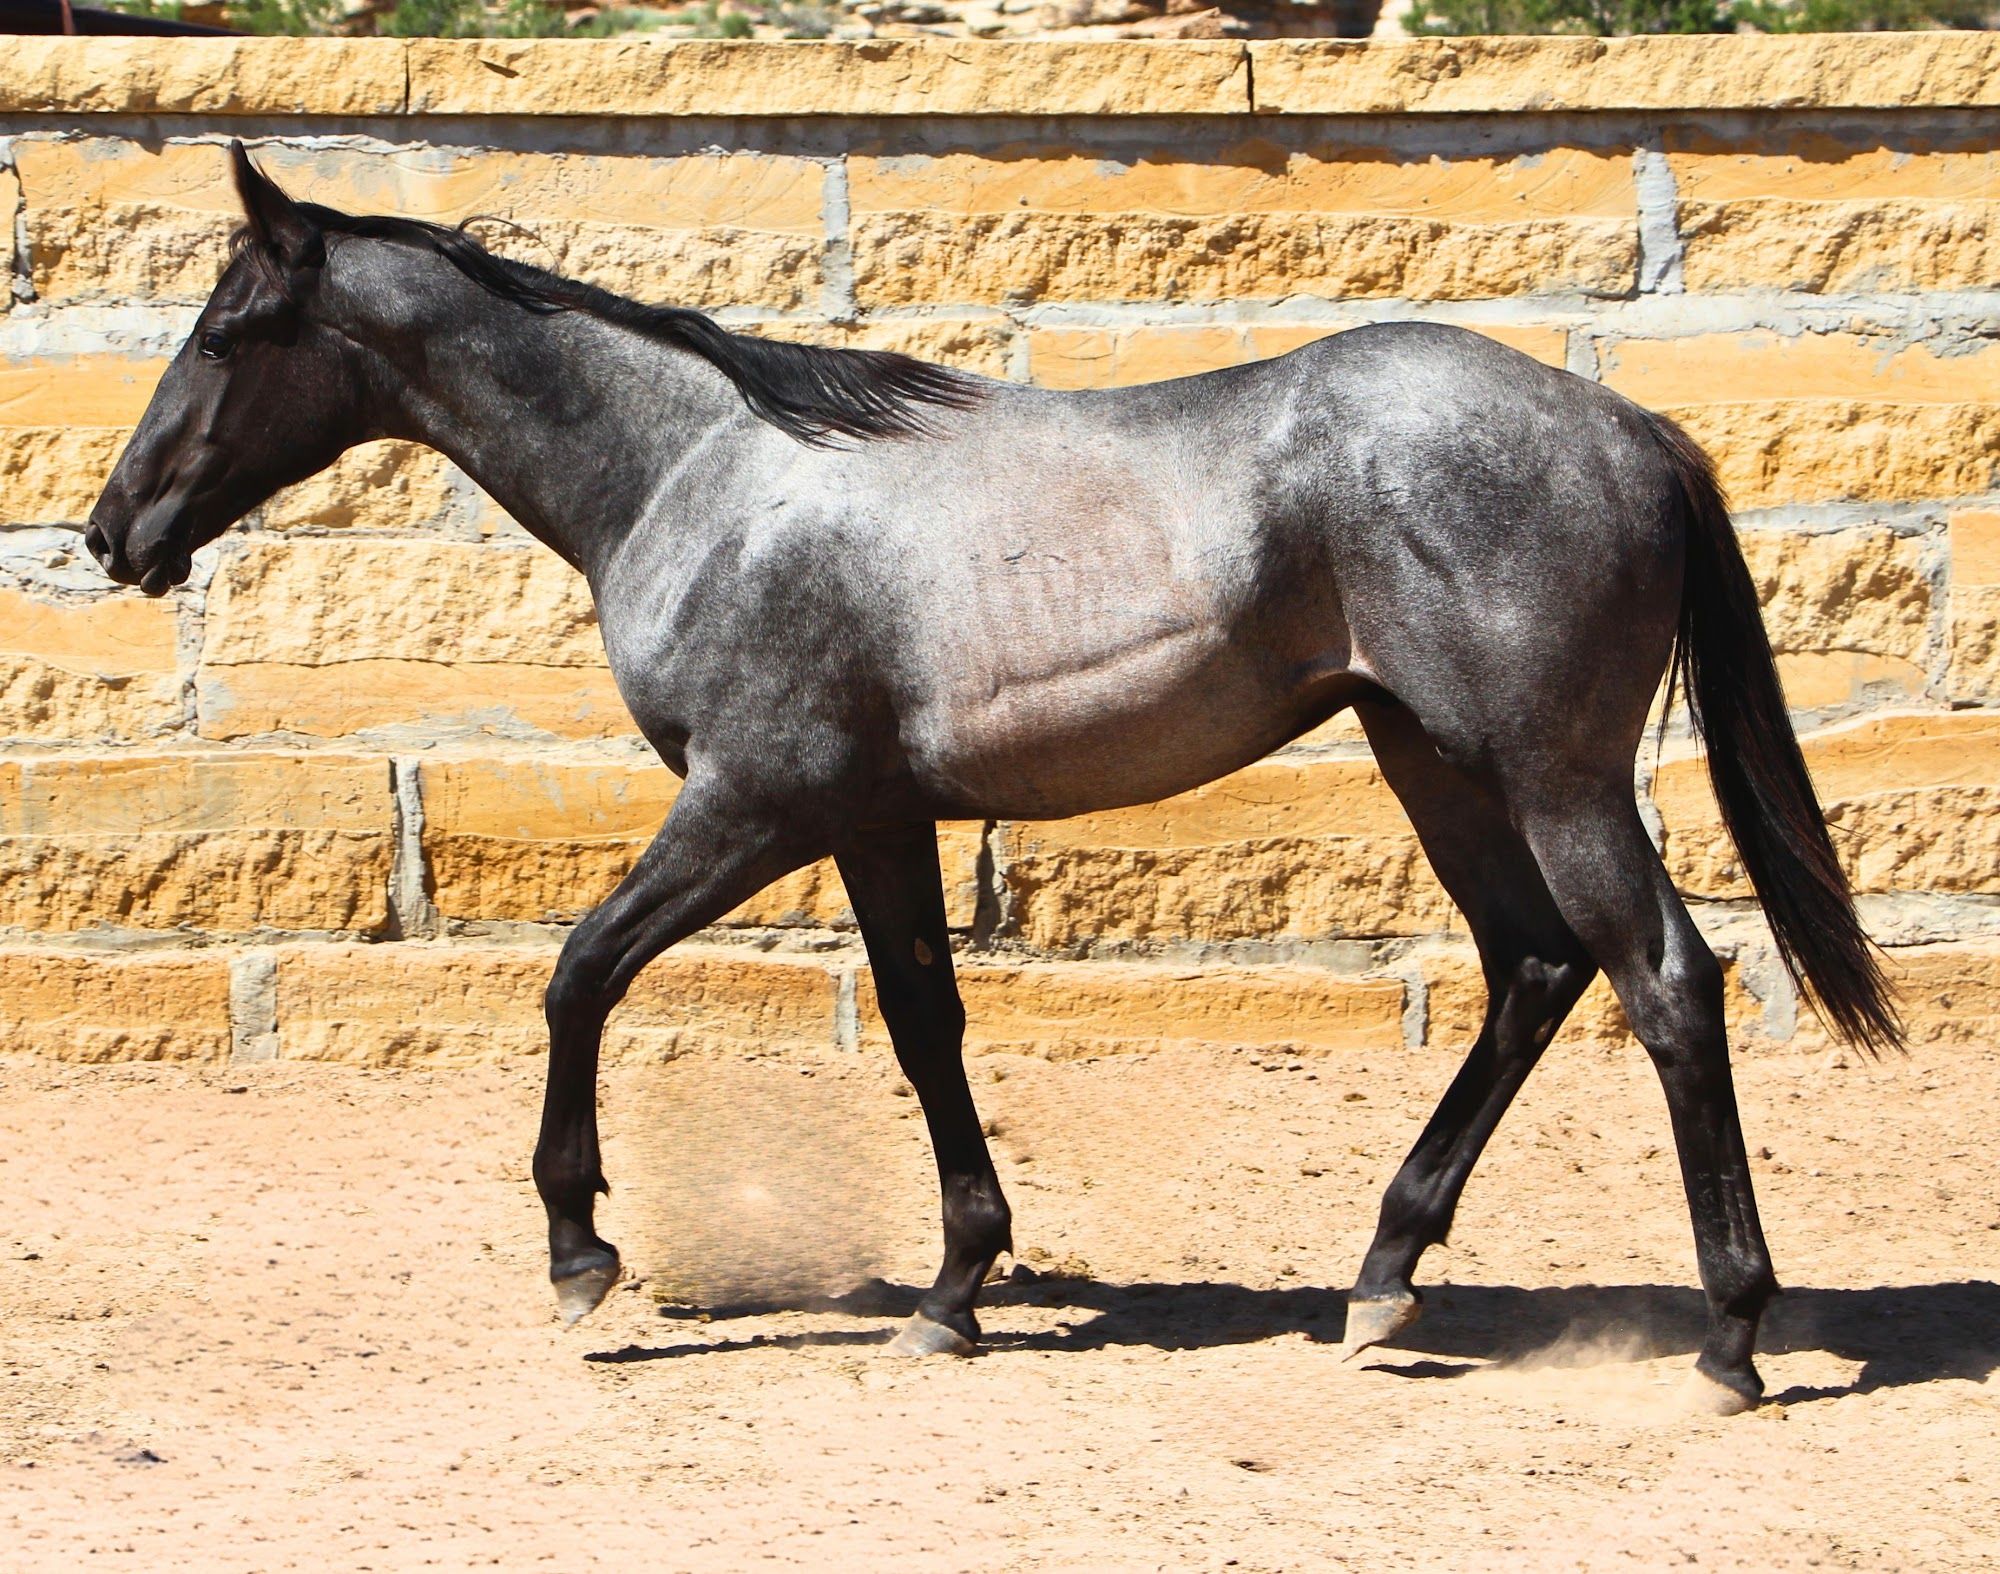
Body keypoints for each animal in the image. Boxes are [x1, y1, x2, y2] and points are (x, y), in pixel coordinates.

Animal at [84, 143, 1900, 1414]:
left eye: (228, 331)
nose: (113, 532)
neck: (698, 476)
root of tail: (1629, 429)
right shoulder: (878, 820)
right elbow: (923, 1022)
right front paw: (956, 1290)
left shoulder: (755, 803)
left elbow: (581, 970)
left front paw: (582, 1253)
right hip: (1431, 760)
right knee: (1533, 965)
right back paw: (1382, 1275)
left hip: (1549, 775)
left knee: (1663, 977)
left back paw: (1729, 1335)